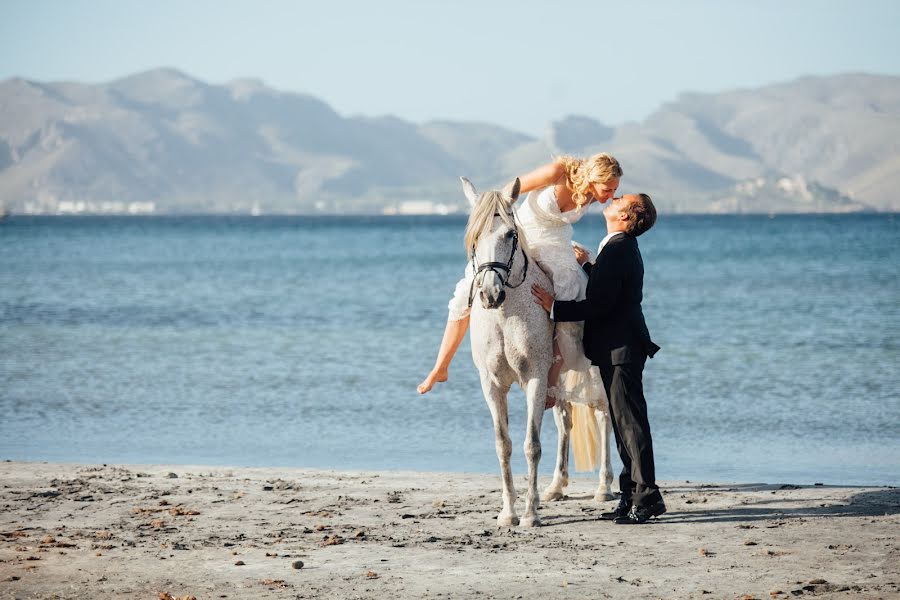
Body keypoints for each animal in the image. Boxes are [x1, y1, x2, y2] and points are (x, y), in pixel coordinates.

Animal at [464, 176, 556, 528]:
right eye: (474, 236)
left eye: (510, 234)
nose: (490, 294)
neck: (506, 317)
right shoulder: (491, 385)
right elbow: (503, 445)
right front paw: (508, 512)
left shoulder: (537, 379)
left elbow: (532, 445)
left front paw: (530, 514)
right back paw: (557, 489)